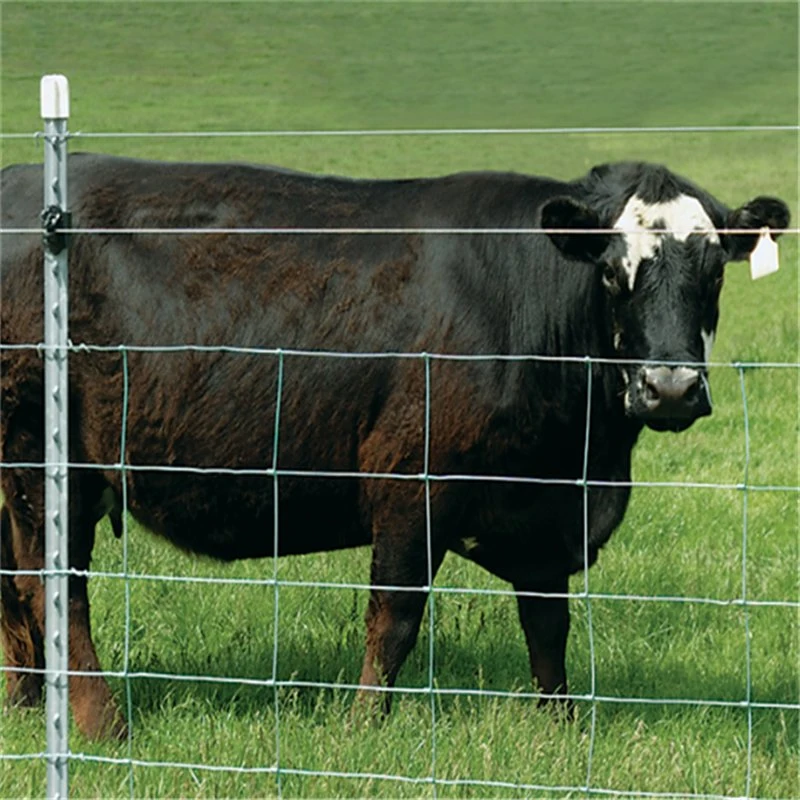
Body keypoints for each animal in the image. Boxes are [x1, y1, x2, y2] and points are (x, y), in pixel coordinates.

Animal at [0, 155, 788, 736]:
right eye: (612, 270)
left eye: (714, 271)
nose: (671, 387)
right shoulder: (413, 485)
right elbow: (396, 618)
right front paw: (362, 727)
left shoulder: (541, 510)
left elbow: (548, 625)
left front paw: (562, 725)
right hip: (42, 455)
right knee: (52, 585)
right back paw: (101, 722)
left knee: (13, 585)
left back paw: (28, 703)